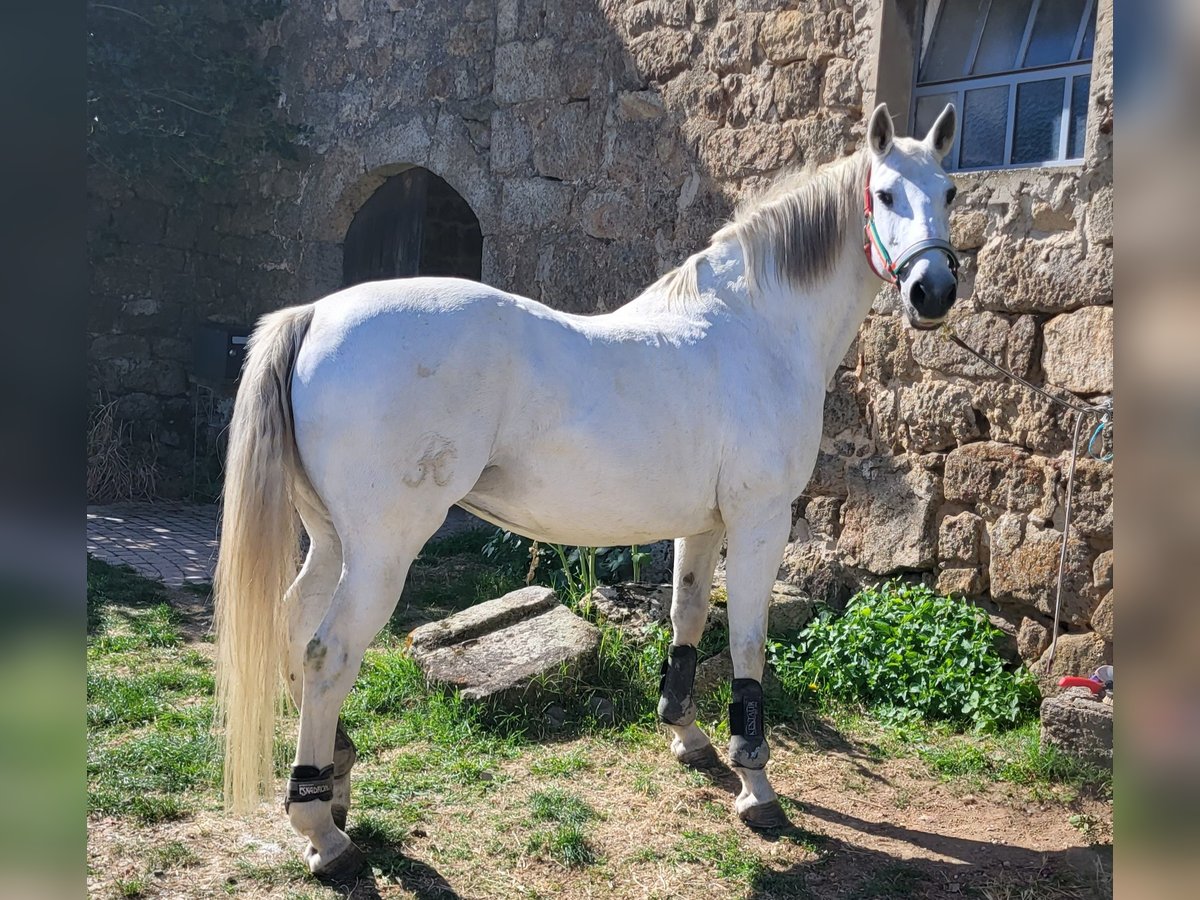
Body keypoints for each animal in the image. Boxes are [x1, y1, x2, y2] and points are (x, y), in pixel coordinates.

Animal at [216, 102, 960, 878]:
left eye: (949, 192)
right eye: (884, 195)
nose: (933, 291)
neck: (756, 329)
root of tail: (313, 315)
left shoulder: (702, 525)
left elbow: (687, 618)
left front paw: (687, 738)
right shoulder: (760, 519)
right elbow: (749, 644)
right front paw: (756, 787)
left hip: (331, 539)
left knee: (293, 626)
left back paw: (333, 789)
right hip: (383, 549)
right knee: (328, 655)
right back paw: (323, 833)